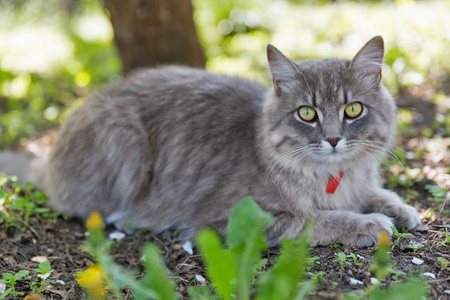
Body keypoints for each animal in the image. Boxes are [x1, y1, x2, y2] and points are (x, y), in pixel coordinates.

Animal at [42, 35, 422, 246]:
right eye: (307, 114)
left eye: (353, 110)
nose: (332, 139)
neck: (331, 177)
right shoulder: (231, 219)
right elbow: (314, 219)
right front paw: (369, 223)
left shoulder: (359, 185)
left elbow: (377, 195)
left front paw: (402, 210)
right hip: (124, 139)